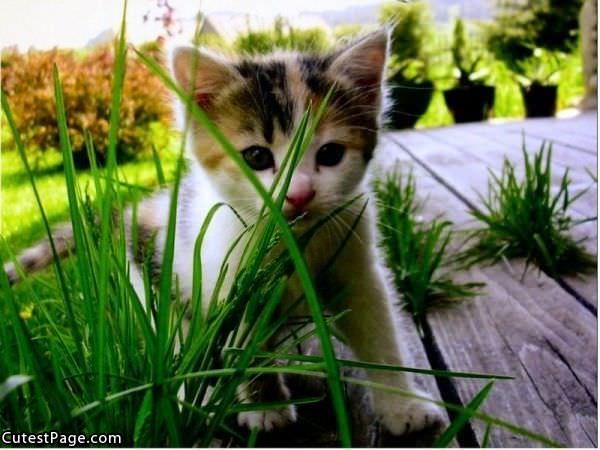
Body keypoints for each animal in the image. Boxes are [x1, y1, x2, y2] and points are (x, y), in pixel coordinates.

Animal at [3, 29, 446, 434]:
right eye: (257, 157)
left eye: (331, 153)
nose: (300, 194)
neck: (292, 240)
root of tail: (135, 211)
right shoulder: (228, 276)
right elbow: (242, 344)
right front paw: (266, 410)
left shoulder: (357, 261)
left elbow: (381, 335)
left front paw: (403, 406)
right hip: (157, 286)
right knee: (177, 341)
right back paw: (197, 397)